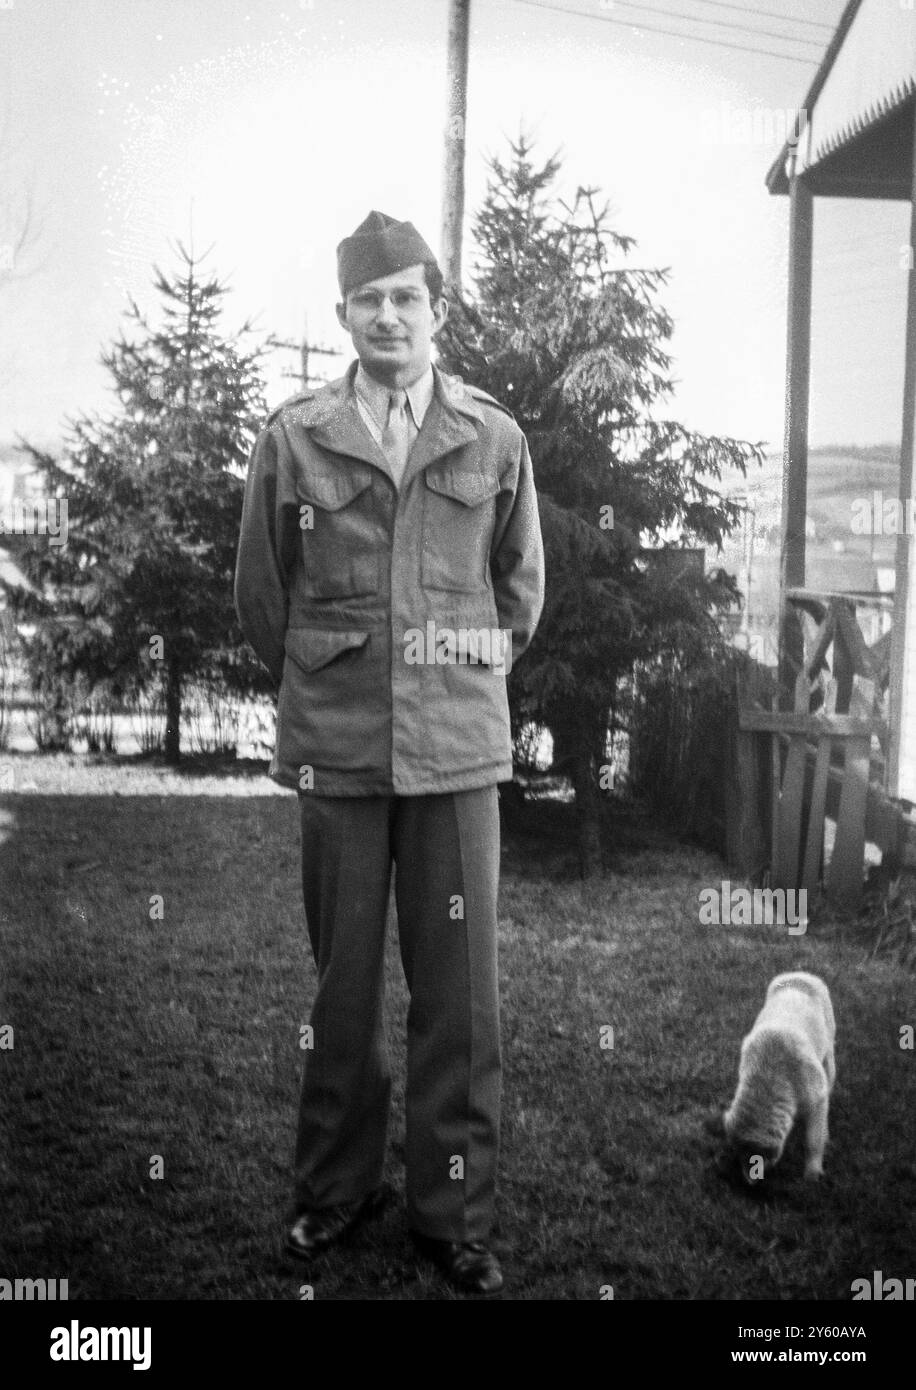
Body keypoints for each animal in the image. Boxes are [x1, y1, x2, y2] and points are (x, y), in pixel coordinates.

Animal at [722, 973, 839, 1178]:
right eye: (738, 1154)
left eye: (756, 1158)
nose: (749, 1182)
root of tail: (800, 974)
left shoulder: (817, 1097)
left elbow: (814, 1139)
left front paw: (812, 1173)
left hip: (828, 1051)